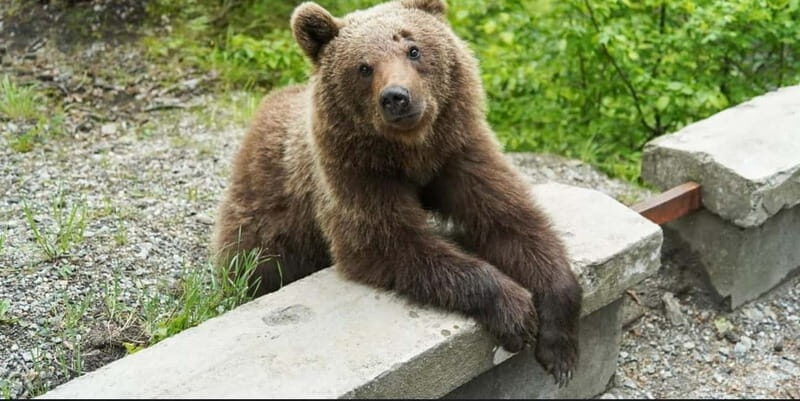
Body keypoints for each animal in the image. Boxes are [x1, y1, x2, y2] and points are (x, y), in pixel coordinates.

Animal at [212, 0, 582, 385]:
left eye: (413, 48)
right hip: (268, 222)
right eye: (363, 66)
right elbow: (390, 241)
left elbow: (513, 222)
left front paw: (559, 347)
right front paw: (515, 308)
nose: (396, 97)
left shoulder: (458, 152)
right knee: (261, 265)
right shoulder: (357, 174)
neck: (412, 153)